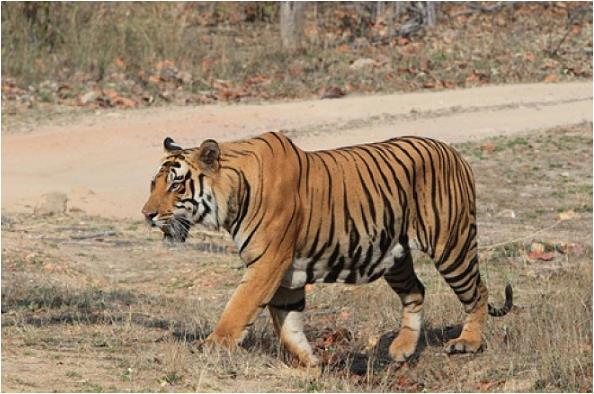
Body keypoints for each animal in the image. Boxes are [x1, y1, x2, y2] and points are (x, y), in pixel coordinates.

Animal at [140, 132, 508, 366]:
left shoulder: (267, 263)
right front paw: (310, 363)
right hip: (395, 256)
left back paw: (468, 343)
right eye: (153, 184)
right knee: (416, 291)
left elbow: (238, 308)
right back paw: (402, 349)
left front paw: (213, 346)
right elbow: (288, 325)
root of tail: (454, 152)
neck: (234, 195)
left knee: (478, 291)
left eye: (176, 185)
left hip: (452, 245)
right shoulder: (286, 274)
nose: (147, 214)